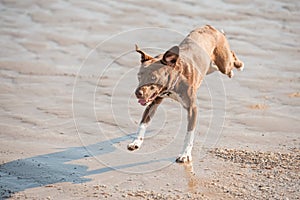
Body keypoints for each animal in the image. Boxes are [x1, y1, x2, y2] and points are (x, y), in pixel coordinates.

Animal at [127, 25, 243, 162]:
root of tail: (210, 27)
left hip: (223, 64)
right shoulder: (154, 102)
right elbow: (143, 123)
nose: (137, 93)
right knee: (215, 66)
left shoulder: (192, 108)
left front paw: (185, 154)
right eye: (139, 76)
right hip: (209, 67)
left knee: (230, 60)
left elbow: (189, 134)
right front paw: (136, 142)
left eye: (153, 78)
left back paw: (238, 65)